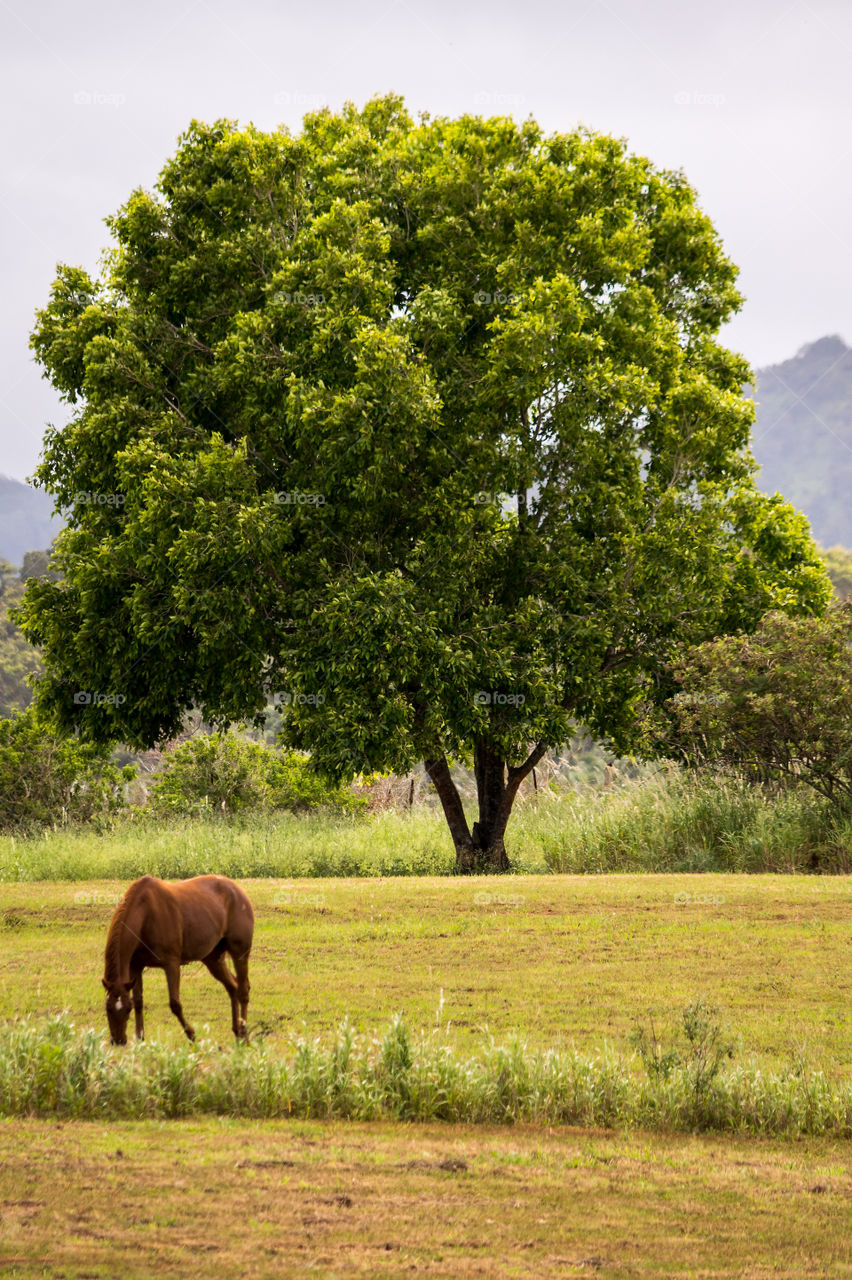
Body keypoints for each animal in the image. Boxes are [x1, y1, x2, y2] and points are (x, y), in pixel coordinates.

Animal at [102, 875, 252, 1044]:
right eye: (108, 1008)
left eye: (127, 1008)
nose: (118, 1040)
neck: (145, 914)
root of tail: (237, 890)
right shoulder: (135, 966)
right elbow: (139, 1001)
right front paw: (140, 1039)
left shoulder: (171, 964)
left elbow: (175, 1004)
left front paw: (192, 1035)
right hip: (213, 959)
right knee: (232, 987)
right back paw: (237, 1032)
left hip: (240, 953)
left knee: (243, 991)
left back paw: (244, 1034)